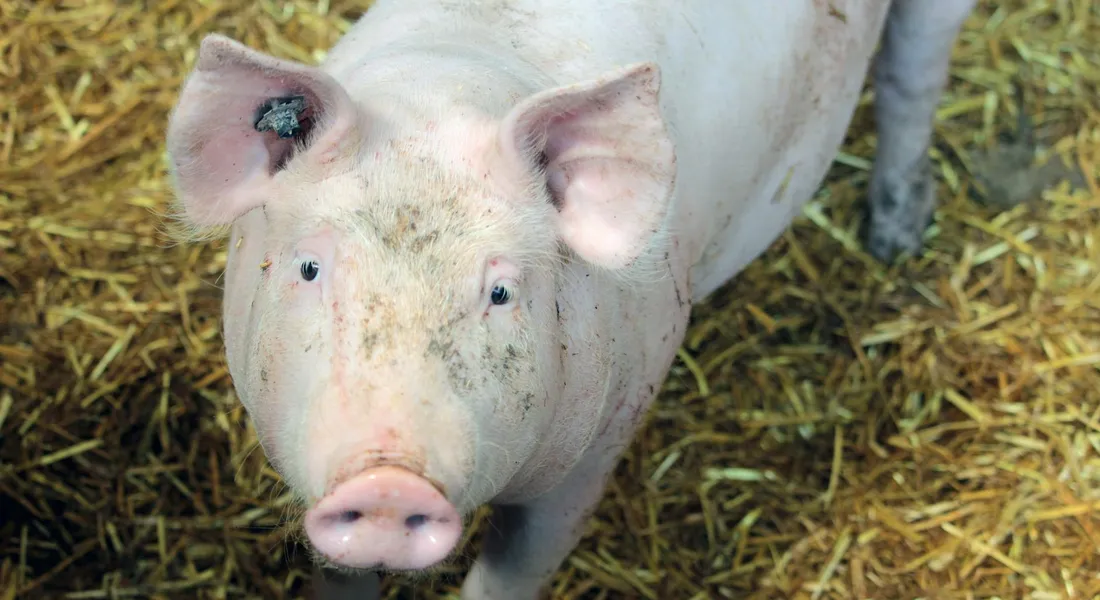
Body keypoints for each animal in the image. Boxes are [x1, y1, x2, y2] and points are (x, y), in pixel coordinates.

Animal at [164, 0, 976, 597]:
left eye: (501, 291)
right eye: (308, 269)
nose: (389, 480)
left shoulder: (600, 444)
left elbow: (514, 574)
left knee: (913, 79)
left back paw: (896, 238)